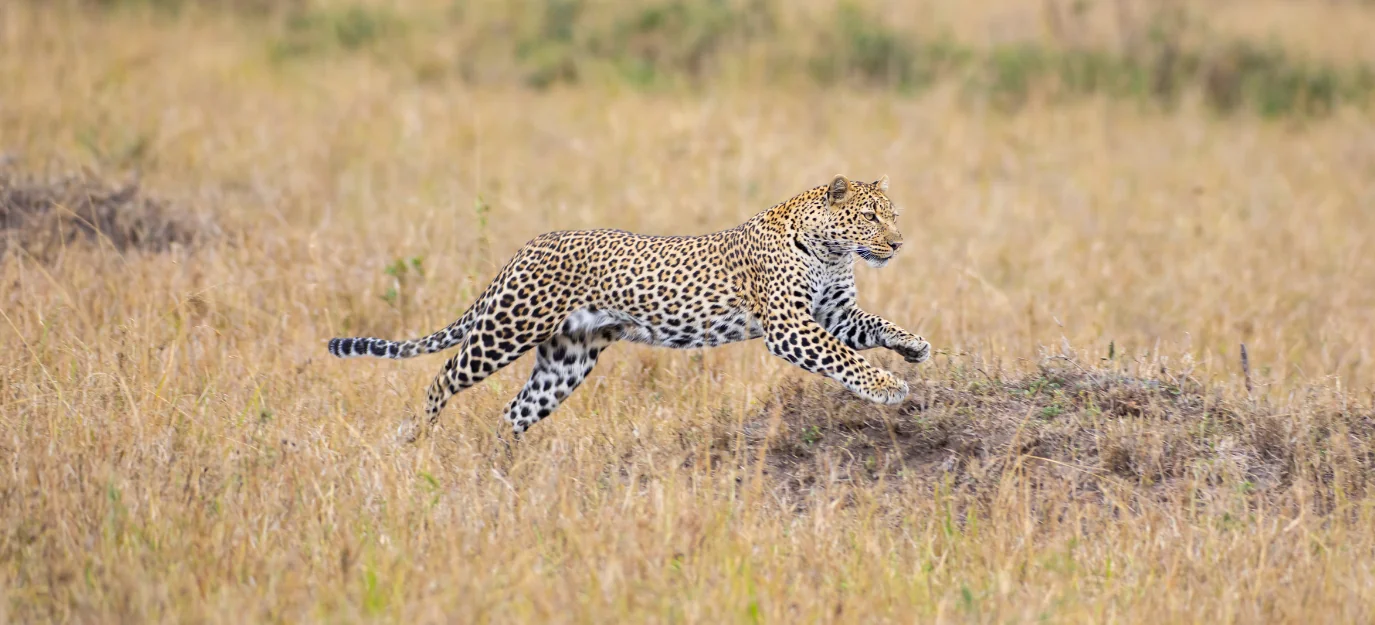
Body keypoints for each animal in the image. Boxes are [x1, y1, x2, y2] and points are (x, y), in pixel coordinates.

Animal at [327, 174, 932, 437]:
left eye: (893, 216)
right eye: (871, 217)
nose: (900, 244)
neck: (832, 250)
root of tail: (528, 245)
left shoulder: (835, 314)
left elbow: (874, 325)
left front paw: (914, 345)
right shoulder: (791, 326)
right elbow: (844, 358)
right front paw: (886, 386)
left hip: (566, 359)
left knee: (515, 411)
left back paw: (506, 471)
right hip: (507, 327)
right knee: (444, 376)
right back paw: (416, 433)